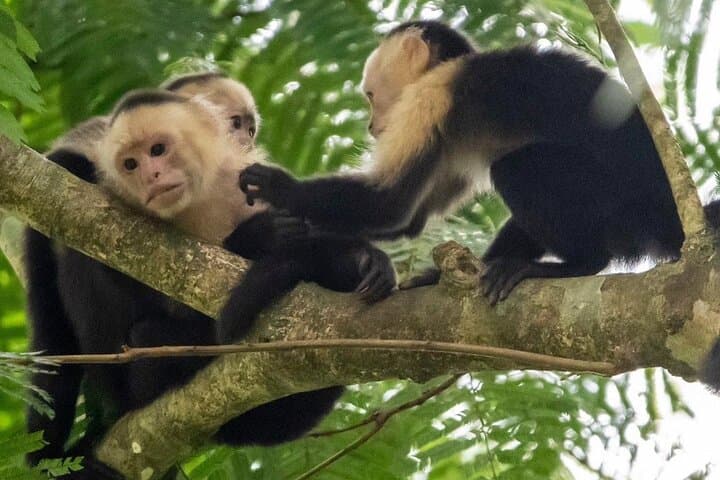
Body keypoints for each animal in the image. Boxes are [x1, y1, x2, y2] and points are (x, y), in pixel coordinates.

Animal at [25, 81, 394, 473]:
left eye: (158, 150)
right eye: (131, 164)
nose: (151, 176)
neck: (197, 202)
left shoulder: (242, 180)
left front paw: (360, 258)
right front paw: (258, 236)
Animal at [237, 20, 685, 305]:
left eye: (369, 95)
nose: (371, 125)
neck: (446, 68)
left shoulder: (429, 96)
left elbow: (388, 203)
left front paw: (280, 187)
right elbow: (408, 219)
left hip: (621, 205)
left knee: (517, 168)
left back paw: (575, 265)